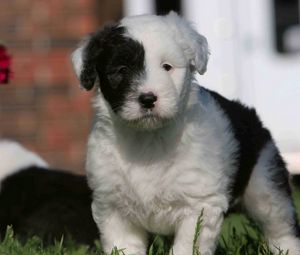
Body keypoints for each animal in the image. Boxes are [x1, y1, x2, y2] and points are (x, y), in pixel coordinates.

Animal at [71, 11, 300, 255]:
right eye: (122, 70)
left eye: (167, 67)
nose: (148, 99)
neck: (149, 138)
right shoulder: (113, 206)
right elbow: (124, 245)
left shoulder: (199, 205)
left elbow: (188, 246)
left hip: (265, 181)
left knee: (280, 226)